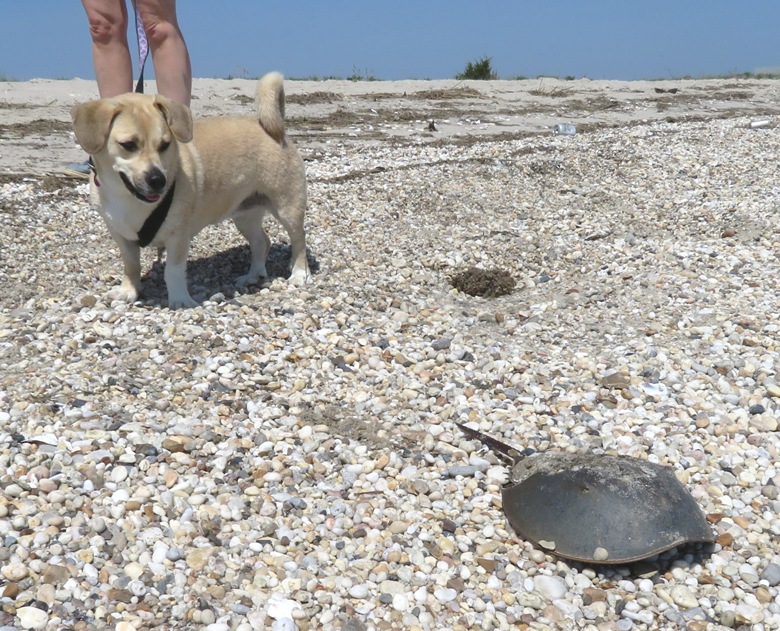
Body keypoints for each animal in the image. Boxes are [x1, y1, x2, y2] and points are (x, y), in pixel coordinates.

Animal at [69, 71, 308, 308]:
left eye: (165, 145)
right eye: (128, 145)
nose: (158, 180)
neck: (128, 197)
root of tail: (272, 127)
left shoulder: (178, 237)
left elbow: (173, 271)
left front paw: (180, 300)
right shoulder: (121, 236)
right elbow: (132, 266)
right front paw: (129, 292)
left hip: (287, 209)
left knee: (299, 240)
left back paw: (299, 274)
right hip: (244, 216)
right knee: (262, 242)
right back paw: (253, 276)